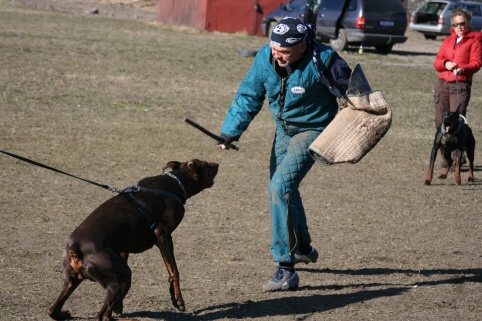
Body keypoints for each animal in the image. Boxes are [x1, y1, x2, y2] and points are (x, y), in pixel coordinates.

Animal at [47, 159, 220, 320]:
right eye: (206, 165)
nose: (217, 163)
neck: (175, 182)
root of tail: (75, 248)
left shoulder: (123, 247)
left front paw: (119, 306)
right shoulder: (162, 234)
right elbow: (173, 270)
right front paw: (178, 299)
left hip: (73, 280)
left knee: (52, 310)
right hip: (122, 279)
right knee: (102, 316)